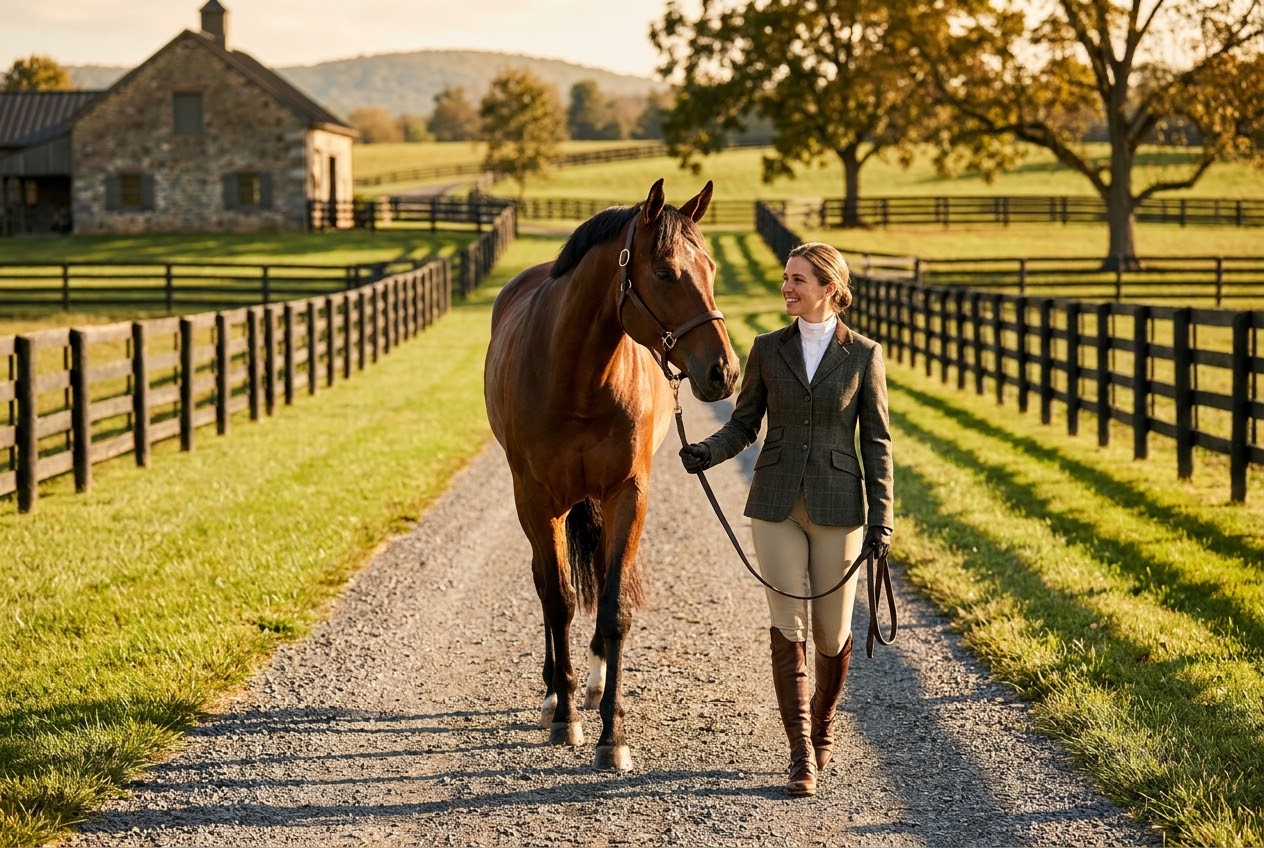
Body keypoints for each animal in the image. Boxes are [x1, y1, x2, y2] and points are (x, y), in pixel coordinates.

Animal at [483, 179, 739, 770]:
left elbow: (614, 605)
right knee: (548, 588)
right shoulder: (537, 503)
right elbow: (558, 599)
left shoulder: (628, 495)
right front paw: (565, 716)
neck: (578, 379)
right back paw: (555, 688)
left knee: (599, 578)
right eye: (665, 271)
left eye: (711, 267)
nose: (725, 371)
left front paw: (612, 734)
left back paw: (597, 681)